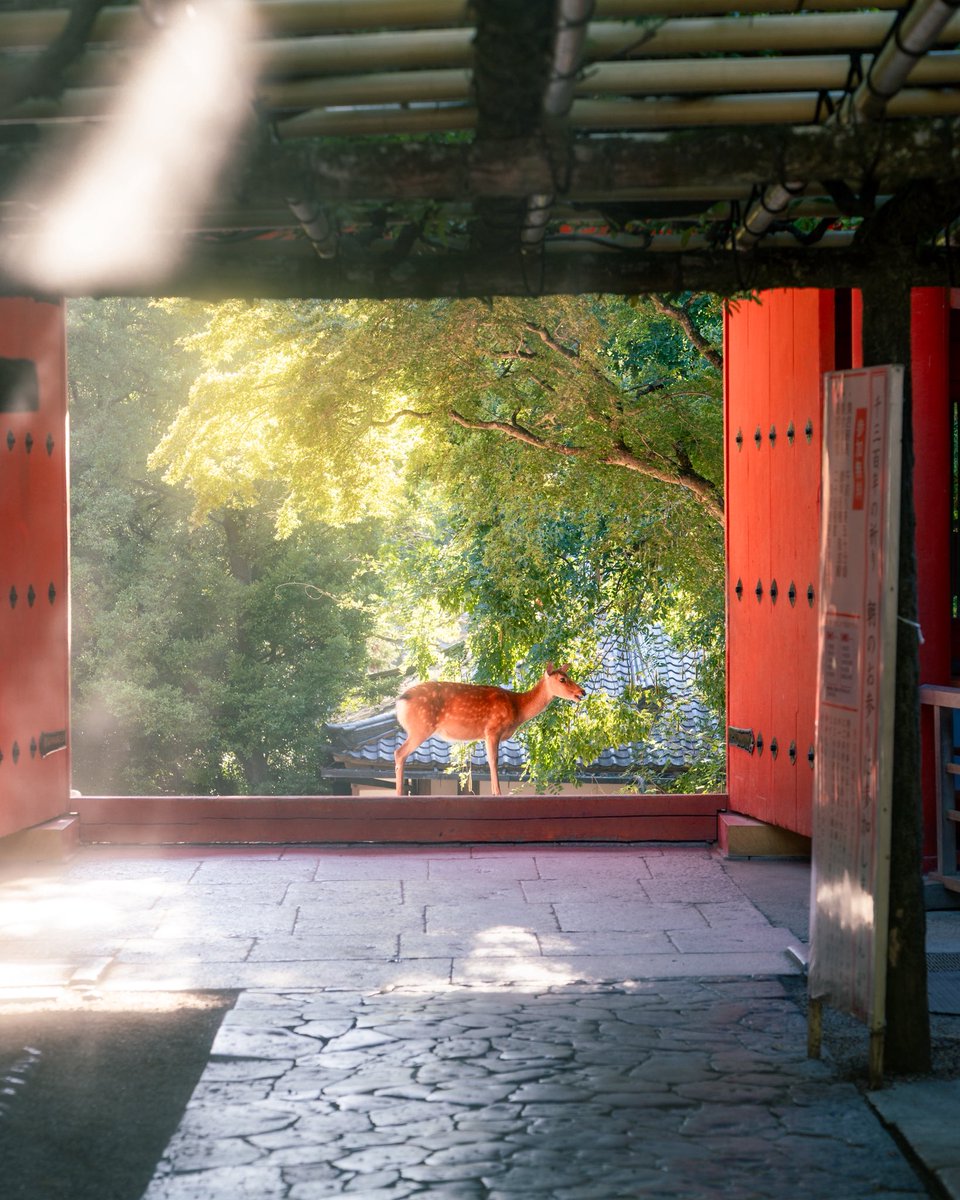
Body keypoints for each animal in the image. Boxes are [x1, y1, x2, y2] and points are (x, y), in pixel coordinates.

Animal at [394, 663, 586, 796]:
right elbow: (494, 760)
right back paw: (399, 793)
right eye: (562, 679)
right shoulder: (493, 729)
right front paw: (498, 792)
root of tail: (401, 701)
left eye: (568, 675)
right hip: (421, 726)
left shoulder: (486, 734)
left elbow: (491, 761)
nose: (582, 692)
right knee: (399, 752)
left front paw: (495, 791)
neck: (517, 708)